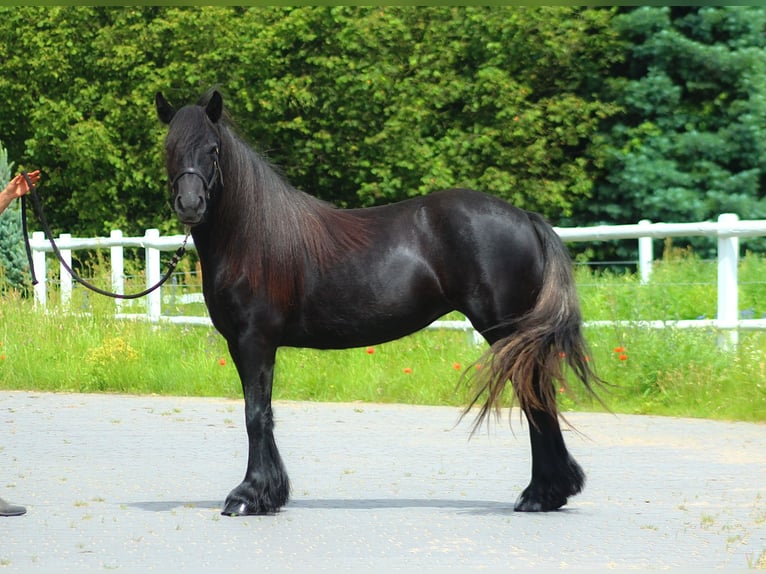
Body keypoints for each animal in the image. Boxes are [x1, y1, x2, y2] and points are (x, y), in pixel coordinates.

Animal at [154, 90, 600, 516]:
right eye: (169, 146)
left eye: (213, 149)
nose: (190, 205)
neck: (251, 240)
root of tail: (526, 218)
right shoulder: (241, 343)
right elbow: (261, 412)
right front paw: (271, 493)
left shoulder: (254, 340)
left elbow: (255, 413)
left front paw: (249, 496)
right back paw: (549, 492)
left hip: (506, 331)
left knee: (535, 395)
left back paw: (540, 494)